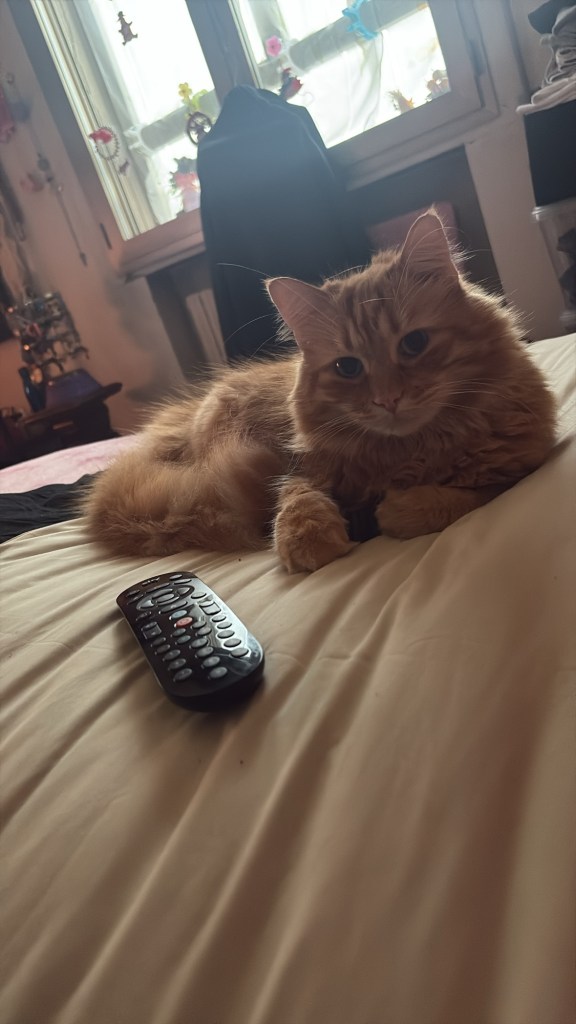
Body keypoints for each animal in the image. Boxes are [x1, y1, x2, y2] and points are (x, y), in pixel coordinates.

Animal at [85, 212, 557, 573]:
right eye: (348, 368)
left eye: (414, 344)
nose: (388, 400)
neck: (410, 451)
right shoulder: (301, 468)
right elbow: (296, 499)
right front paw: (308, 538)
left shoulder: (521, 466)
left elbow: (461, 497)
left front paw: (399, 510)